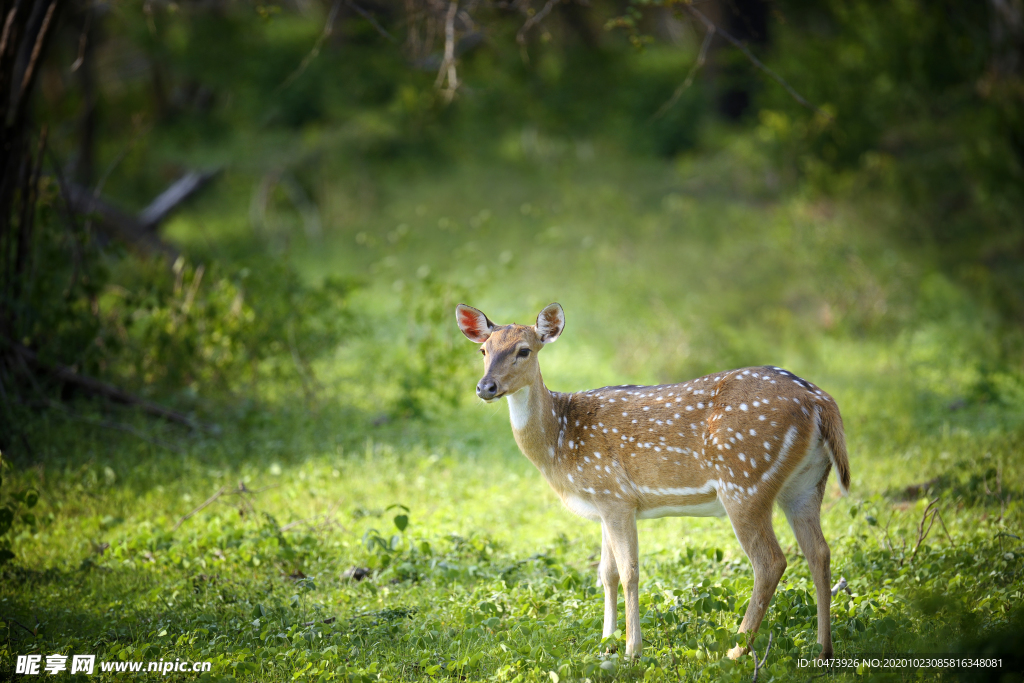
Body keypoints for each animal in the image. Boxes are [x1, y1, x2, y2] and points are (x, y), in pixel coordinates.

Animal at [454, 301, 847, 659]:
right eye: (483, 350)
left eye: (524, 350)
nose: (486, 387)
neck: (560, 440)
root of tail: (820, 402)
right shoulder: (603, 502)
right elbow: (606, 573)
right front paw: (606, 644)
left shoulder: (615, 495)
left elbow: (629, 572)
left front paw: (632, 651)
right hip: (805, 485)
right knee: (819, 552)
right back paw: (823, 651)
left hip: (745, 481)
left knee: (771, 562)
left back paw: (735, 652)